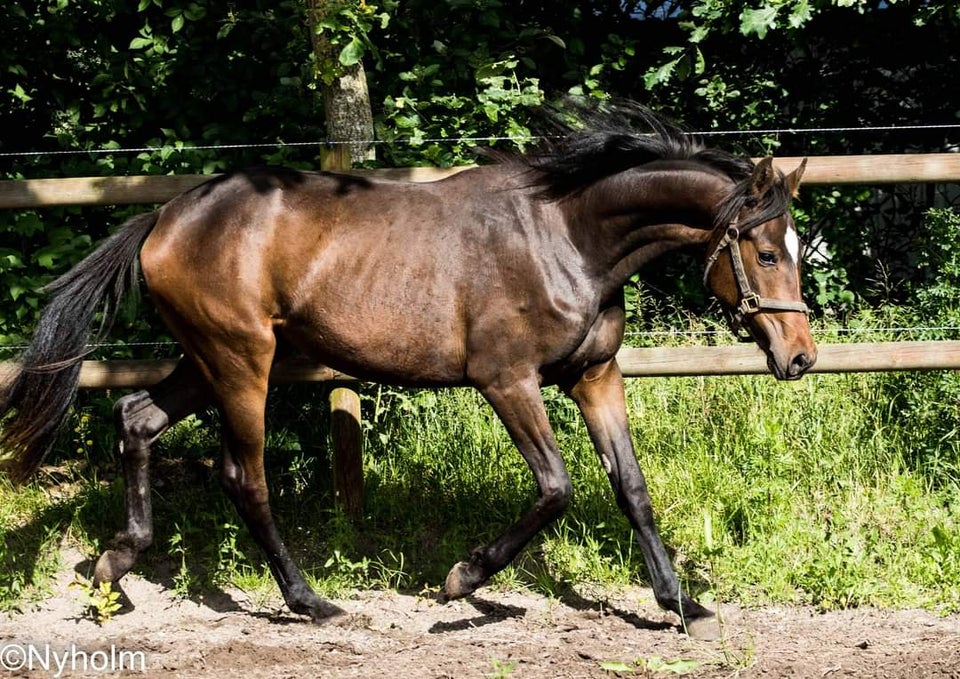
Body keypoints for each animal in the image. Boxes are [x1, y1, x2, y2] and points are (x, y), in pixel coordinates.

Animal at [0, 101, 816, 636]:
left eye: (796, 248)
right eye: (766, 252)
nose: (801, 356)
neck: (568, 237)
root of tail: (163, 220)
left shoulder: (596, 376)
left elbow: (633, 490)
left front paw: (683, 606)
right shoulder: (506, 380)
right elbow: (556, 488)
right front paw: (461, 582)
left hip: (208, 358)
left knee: (135, 418)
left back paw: (113, 564)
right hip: (241, 361)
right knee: (243, 476)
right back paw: (312, 601)